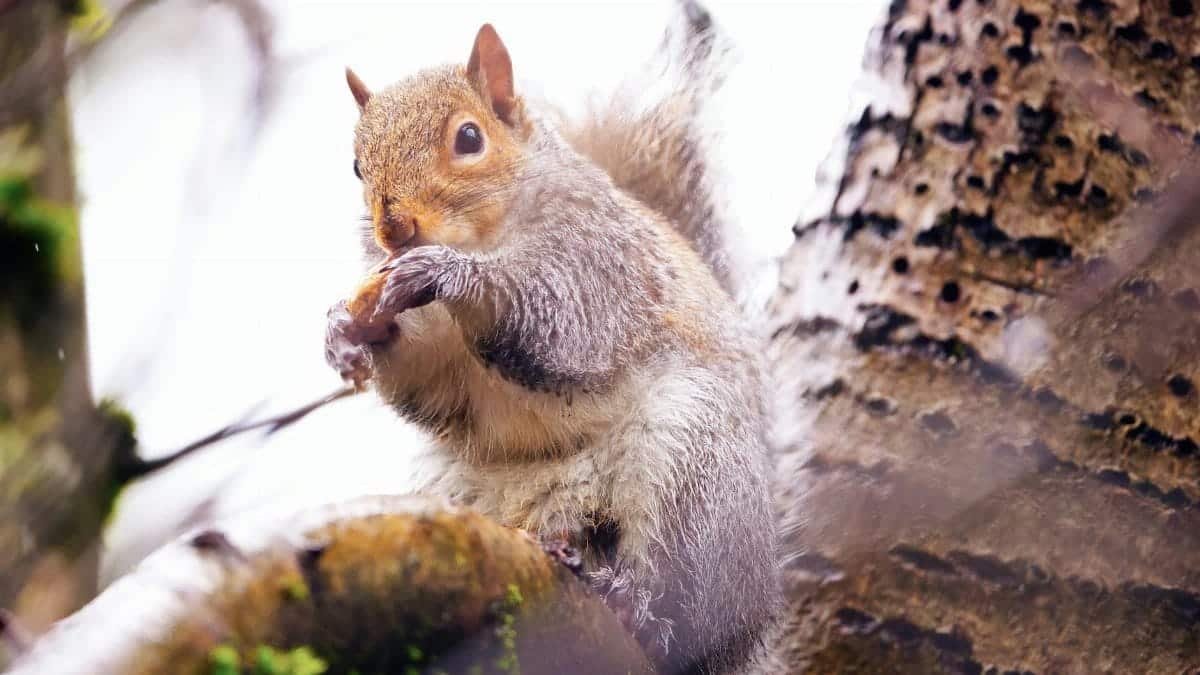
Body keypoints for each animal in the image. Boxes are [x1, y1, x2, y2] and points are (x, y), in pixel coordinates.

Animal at [324, 5, 779, 673]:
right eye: (358, 164)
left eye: (469, 139)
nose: (394, 228)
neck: (487, 237)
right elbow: (431, 382)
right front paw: (346, 328)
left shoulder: (600, 259)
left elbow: (565, 322)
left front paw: (447, 274)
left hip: (696, 467)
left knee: (685, 599)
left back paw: (638, 608)